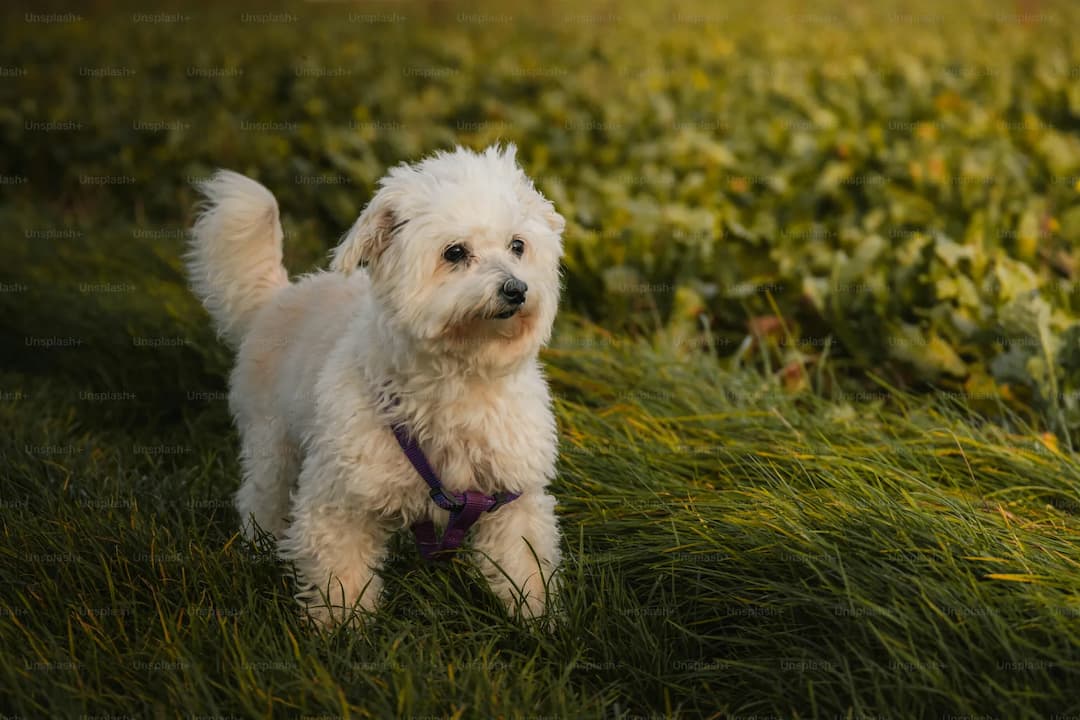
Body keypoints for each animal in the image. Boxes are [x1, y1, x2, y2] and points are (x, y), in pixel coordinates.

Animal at [186, 143, 565, 626]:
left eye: (518, 246)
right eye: (455, 252)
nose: (516, 289)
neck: (460, 377)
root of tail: (280, 294)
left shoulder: (512, 499)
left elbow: (525, 565)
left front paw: (539, 622)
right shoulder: (341, 498)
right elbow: (340, 577)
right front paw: (340, 630)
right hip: (274, 446)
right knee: (261, 499)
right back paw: (259, 550)